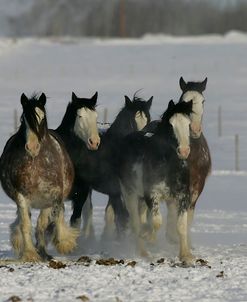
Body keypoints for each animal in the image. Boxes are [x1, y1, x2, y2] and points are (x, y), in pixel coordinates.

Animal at [0, 93, 77, 260]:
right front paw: (29, 253)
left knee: (43, 223)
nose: (32, 147)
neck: (36, 163)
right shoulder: (21, 196)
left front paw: (64, 243)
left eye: (42, 118)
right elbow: (25, 225)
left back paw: (44, 251)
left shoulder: (55, 195)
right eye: (24, 118)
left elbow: (56, 218)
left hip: (45, 202)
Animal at [118, 99, 194, 264]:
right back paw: (143, 251)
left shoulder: (182, 196)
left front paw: (185, 255)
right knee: (135, 223)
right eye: (171, 125)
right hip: (130, 194)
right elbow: (157, 221)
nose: (184, 151)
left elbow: (181, 225)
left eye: (189, 124)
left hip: (143, 198)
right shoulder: (152, 195)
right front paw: (148, 236)